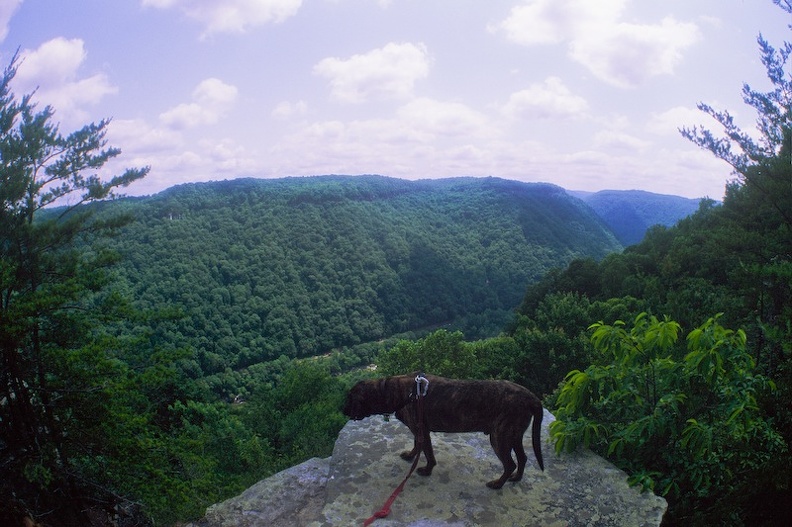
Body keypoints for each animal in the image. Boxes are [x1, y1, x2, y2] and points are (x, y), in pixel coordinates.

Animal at [342, 374, 544, 488]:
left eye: (350, 398)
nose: (342, 411)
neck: (396, 391)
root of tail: (531, 397)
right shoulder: (418, 429)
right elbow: (417, 445)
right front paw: (411, 455)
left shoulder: (422, 430)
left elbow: (428, 453)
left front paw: (427, 469)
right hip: (513, 435)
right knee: (522, 458)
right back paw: (516, 478)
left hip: (499, 438)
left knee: (510, 464)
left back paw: (498, 483)